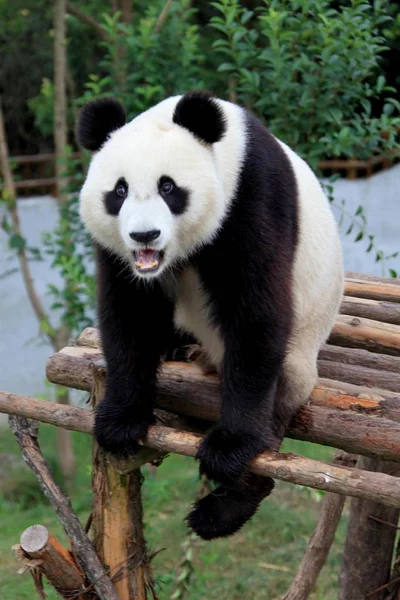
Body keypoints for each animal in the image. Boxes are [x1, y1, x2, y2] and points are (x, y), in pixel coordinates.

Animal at [77, 91, 344, 540]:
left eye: (168, 187)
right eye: (119, 190)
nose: (144, 235)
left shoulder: (251, 199)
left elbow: (255, 315)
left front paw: (229, 448)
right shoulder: (120, 256)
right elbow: (129, 315)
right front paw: (120, 422)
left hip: (301, 353)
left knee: (279, 395)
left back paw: (221, 510)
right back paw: (181, 350)